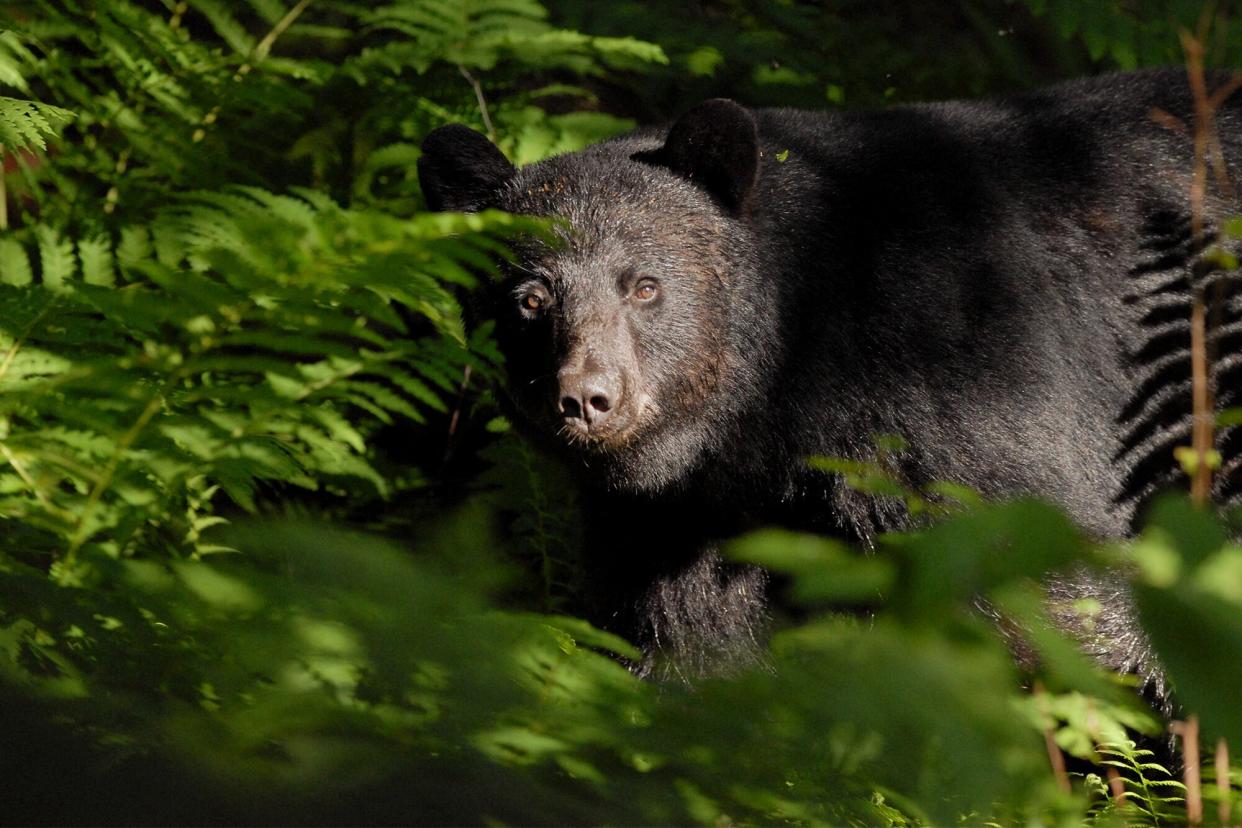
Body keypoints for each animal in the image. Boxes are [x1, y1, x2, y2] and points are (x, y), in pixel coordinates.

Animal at [419, 72, 1242, 685]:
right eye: (529, 297)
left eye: (644, 285)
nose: (586, 398)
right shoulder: (678, 520)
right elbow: (684, 640)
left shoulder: (974, 401)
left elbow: (1060, 606)